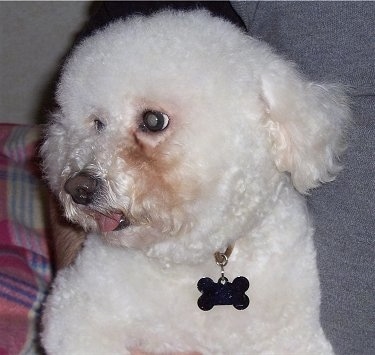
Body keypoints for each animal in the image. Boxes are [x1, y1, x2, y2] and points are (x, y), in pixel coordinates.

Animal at [40, 9, 350, 354]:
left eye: (153, 120)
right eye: (97, 123)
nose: (78, 188)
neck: (199, 256)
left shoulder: (291, 337)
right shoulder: (75, 310)